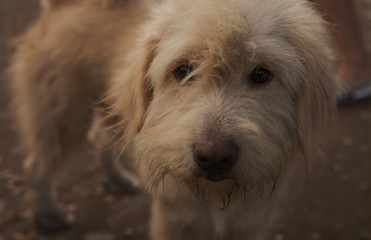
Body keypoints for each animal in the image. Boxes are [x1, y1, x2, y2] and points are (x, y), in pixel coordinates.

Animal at [8, 0, 340, 238]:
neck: (216, 197)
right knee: (36, 163)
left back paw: (117, 179)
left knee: (99, 138)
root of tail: (61, 7)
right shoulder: (174, 218)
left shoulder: (251, 222)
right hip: (60, 114)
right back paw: (46, 213)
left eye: (261, 74)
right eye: (183, 70)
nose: (213, 157)